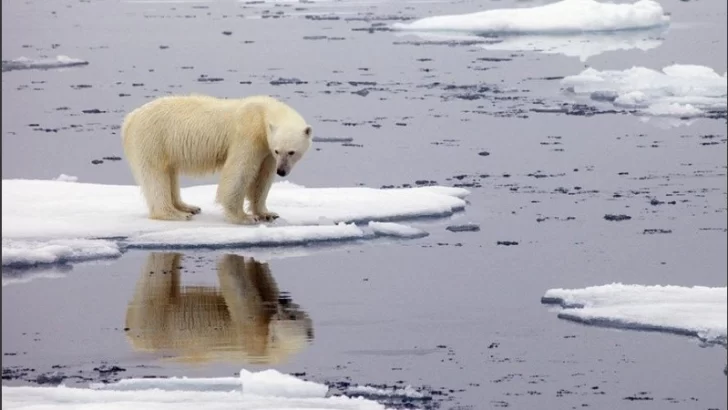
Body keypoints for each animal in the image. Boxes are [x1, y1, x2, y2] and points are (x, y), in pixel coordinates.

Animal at [120, 93, 312, 224]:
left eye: (291, 152)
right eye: (279, 151)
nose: (282, 171)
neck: (262, 112)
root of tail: (130, 118)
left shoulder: (266, 149)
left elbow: (262, 178)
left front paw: (267, 213)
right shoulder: (248, 135)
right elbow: (239, 172)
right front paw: (245, 217)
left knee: (170, 173)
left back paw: (188, 207)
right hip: (152, 139)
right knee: (155, 175)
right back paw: (175, 213)